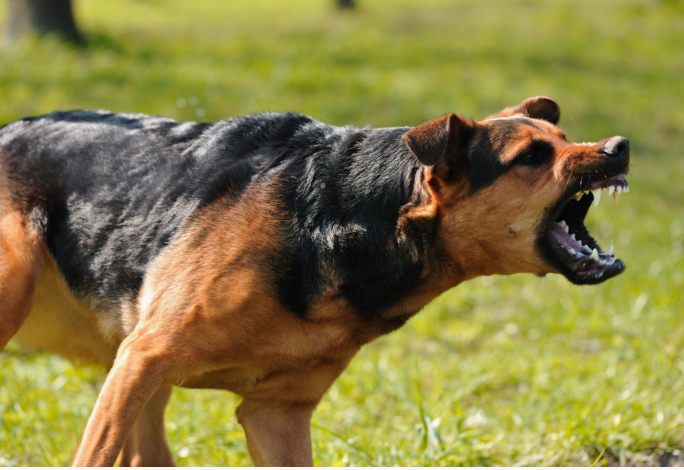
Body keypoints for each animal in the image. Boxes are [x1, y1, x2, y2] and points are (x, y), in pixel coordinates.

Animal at [0, 96, 632, 466]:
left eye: (564, 137)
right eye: (531, 156)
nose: (619, 146)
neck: (344, 219)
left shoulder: (275, 414)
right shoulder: (147, 356)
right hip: (38, 302)